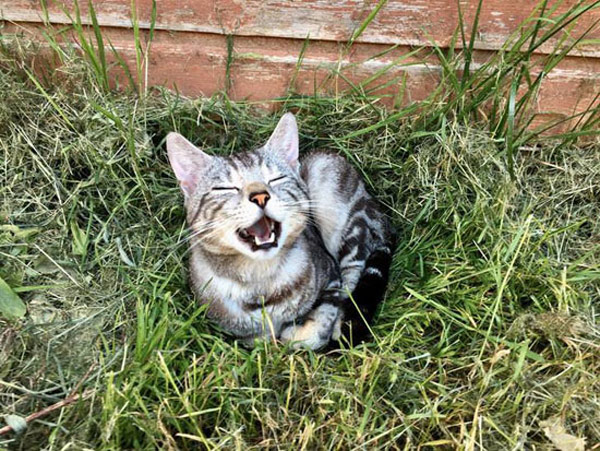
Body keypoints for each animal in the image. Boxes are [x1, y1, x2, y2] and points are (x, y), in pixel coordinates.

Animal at [166, 112, 396, 350]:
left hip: (328, 180)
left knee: (354, 266)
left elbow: (319, 322)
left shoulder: (330, 276)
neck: (260, 280)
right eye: (226, 188)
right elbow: (258, 339)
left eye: (275, 179)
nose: (260, 196)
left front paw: (296, 333)